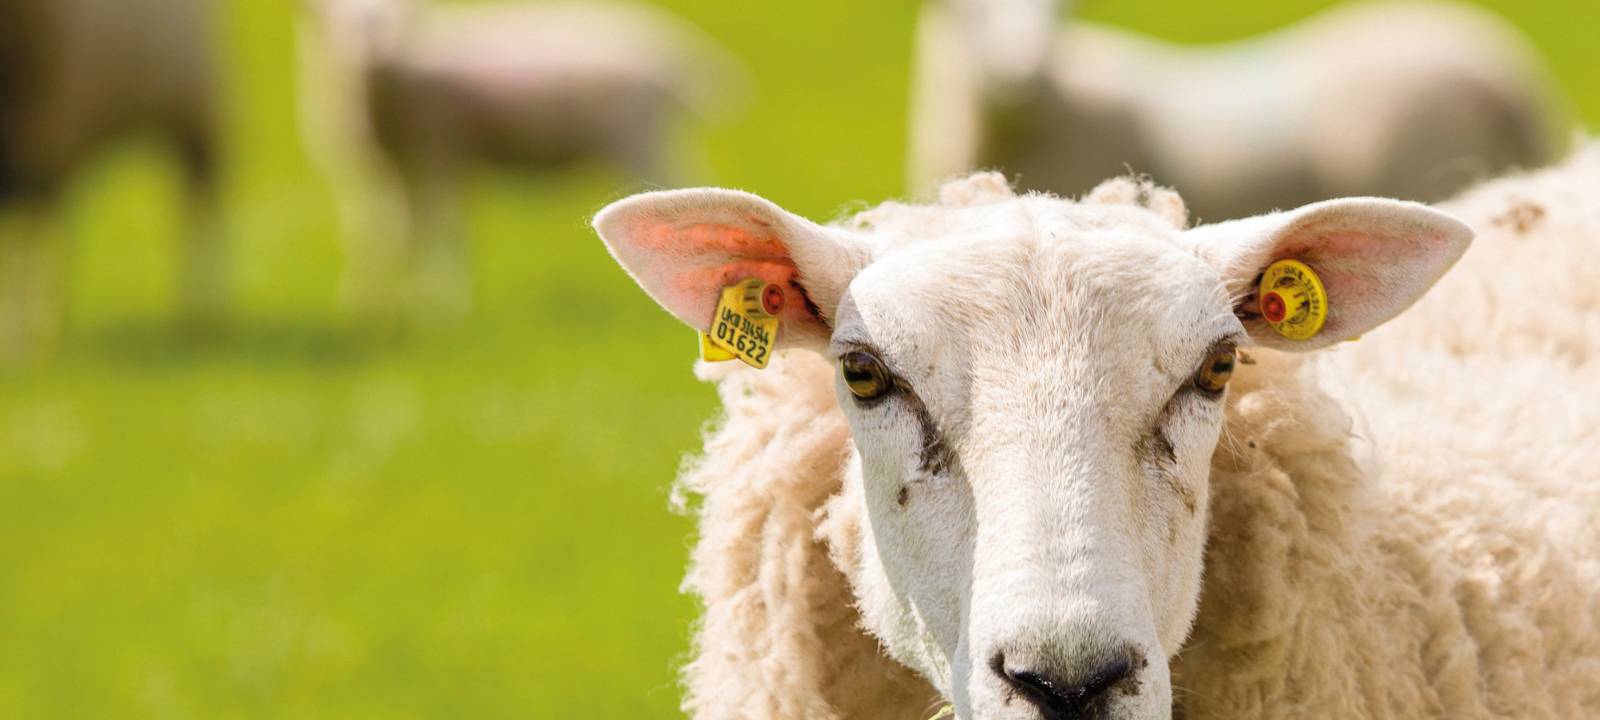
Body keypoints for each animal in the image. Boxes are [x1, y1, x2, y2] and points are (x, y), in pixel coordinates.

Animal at [0, 0, 220, 358]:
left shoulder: (39, 159)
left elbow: (25, 261)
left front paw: (24, 349)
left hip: (197, 124)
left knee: (203, 223)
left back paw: (201, 319)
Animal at [297, 0, 745, 323]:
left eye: (396, 19)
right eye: (340, 22)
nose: (373, 55)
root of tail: (672, 56)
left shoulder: (440, 150)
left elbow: (441, 229)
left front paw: (442, 306)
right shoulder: (377, 169)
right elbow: (380, 236)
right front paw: (369, 306)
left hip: (639, 139)